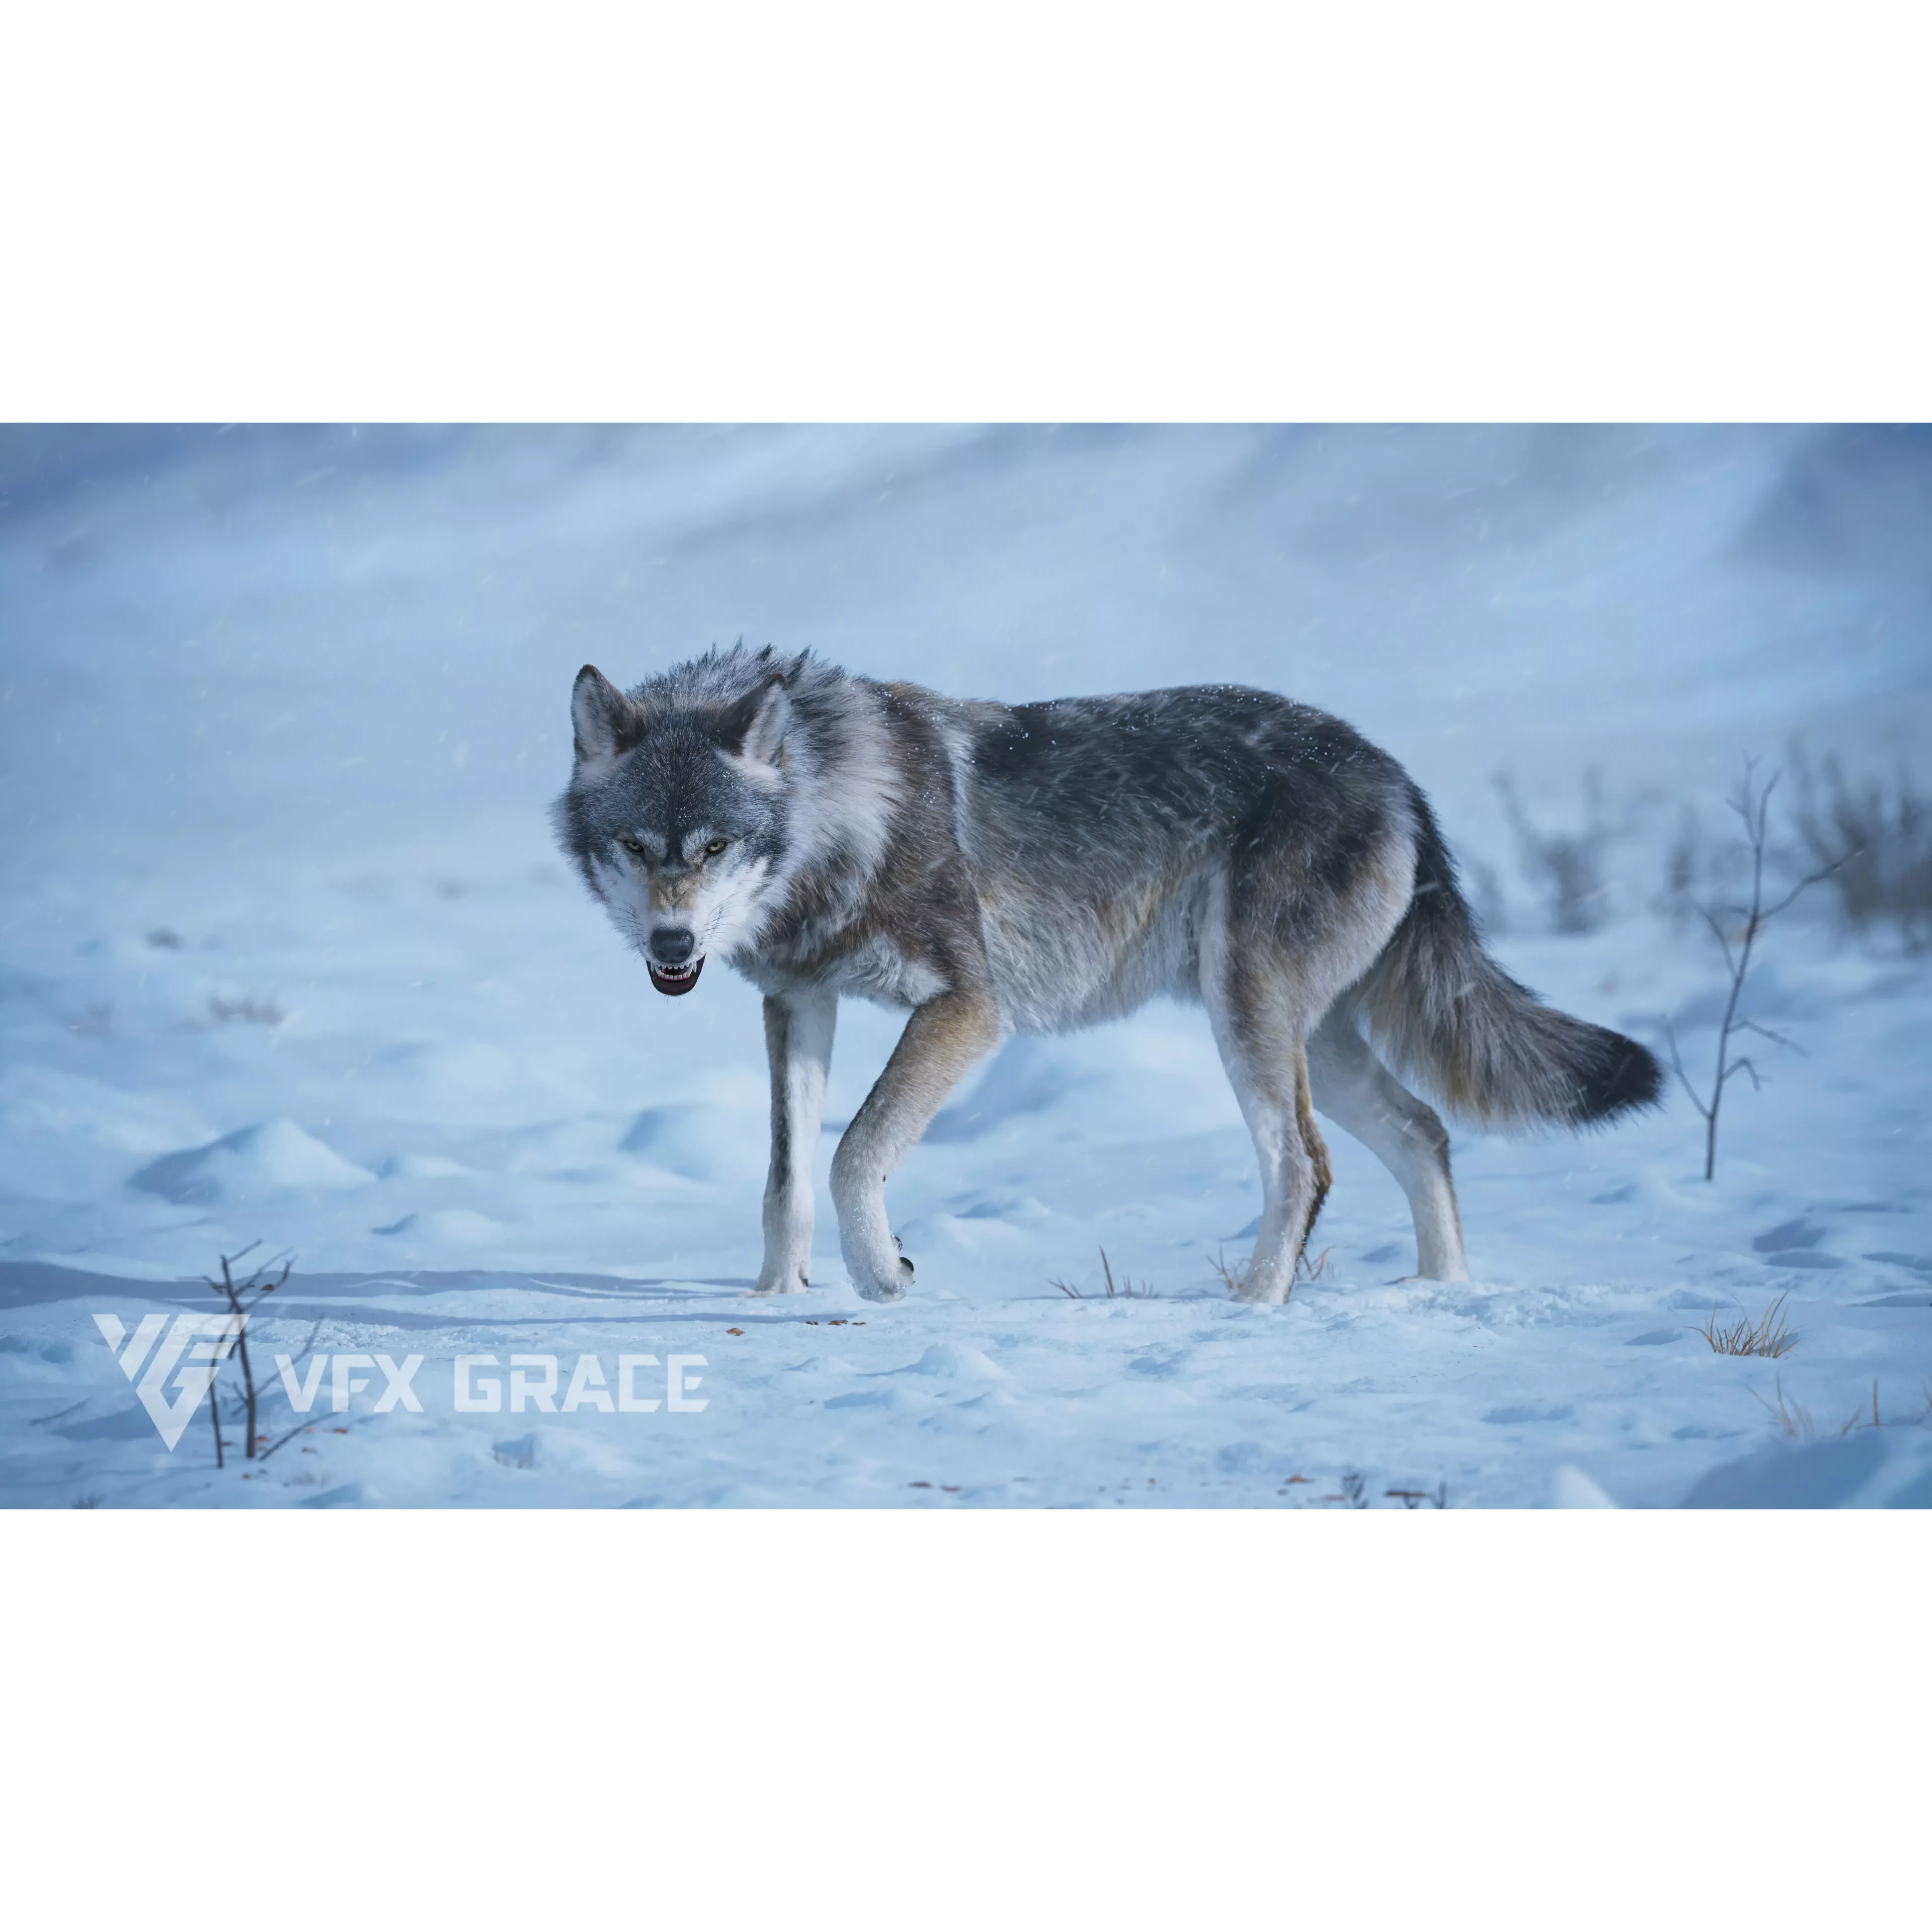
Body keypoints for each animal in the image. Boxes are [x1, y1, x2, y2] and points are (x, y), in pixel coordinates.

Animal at [554, 645, 1661, 1305]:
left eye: (715, 848)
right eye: (638, 847)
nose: (672, 949)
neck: (840, 823)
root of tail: (1395, 775)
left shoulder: (969, 1010)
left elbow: (851, 1155)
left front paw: (885, 1282)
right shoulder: (798, 1000)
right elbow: (785, 1177)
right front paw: (774, 1304)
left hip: (1246, 1019)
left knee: (1304, 1165)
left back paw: (1251, 1310)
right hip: (1316, 1043)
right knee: (1424, 1132)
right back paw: (1441, 1297)